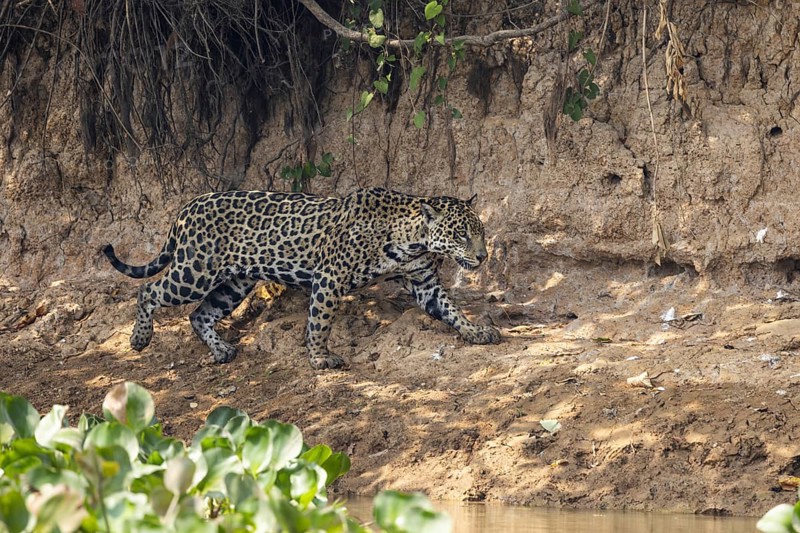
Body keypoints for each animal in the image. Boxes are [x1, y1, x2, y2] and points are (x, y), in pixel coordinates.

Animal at [103, 187, 501, 369]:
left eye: (480, 232)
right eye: (461, 234)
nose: (483, 256)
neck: (411, 239)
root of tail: (189, 204)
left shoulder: (424, 283)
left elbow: (451, 310)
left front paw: (477, 332)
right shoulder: (330, 276)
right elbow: (320, 321)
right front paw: (321, 358)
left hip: (235, 282)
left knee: (199, 314)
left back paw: (221, 350)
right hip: (195, 270)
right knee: (149, 289)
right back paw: (139, 338)